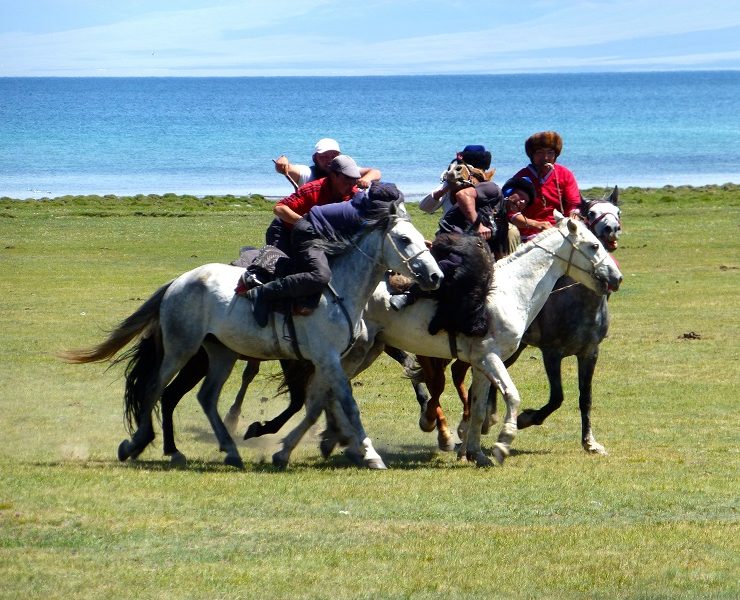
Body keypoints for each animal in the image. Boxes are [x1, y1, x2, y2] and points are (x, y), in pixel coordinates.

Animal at [59, 198, 443, 470]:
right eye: (404, 239)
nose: (435, 276)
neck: (340, 290)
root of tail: (179, 281)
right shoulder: (326, 359)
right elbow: (344, 402)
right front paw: (368, 453)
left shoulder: (326, 361)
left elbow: (318, 403)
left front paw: (292, 448)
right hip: (181, 348)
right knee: (156, 388)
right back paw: (138, 444)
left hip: (220, 352)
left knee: (204, 397)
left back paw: (229, 450)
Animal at [416, 188, 622, 454]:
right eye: (592, 213)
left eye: (618, 212)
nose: (612, 229)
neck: (579, 304)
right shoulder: (551, 353)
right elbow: (557, 397)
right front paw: (525, 419)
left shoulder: (589, 353)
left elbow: (585, 398)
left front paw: (590, 442)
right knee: (439, 380)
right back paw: (440, 424)